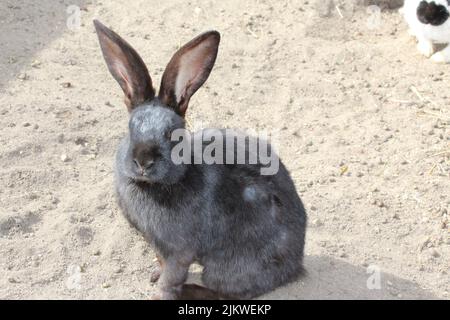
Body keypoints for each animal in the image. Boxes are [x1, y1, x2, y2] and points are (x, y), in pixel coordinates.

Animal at [93, 20, 308, 300]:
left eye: (172, 134)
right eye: (130, 129)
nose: (143, 162)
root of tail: (296, 265)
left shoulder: (179, 252)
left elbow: (171, 278)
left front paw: (161, 293)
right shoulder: (159, 248)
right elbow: (161, 265)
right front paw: (154, 275)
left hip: (223, 270)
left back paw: (192, 290)